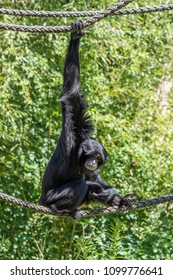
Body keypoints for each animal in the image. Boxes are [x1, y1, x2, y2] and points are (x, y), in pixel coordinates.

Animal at [39, 21, 136, 219]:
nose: (92, 162)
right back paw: (61, 208)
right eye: (90, 156)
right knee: (81, 185)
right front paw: (76, 36)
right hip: (49, 198)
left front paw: (121, 199)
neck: (78, 154)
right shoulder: (73, 132)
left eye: (98, 158)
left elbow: (95, 177)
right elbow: (72, 93)